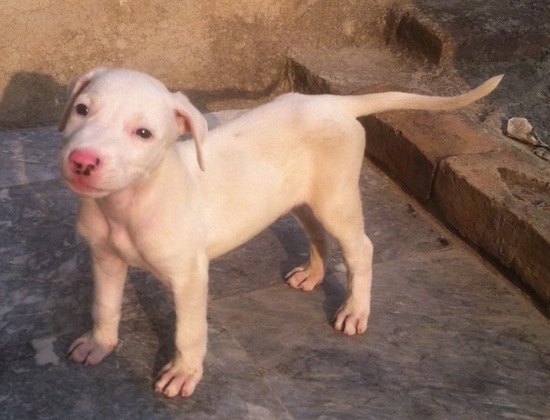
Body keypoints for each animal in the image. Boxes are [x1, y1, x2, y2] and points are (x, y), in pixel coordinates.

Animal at [58, 69, 502, 398]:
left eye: (143, 133)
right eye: (81, 110)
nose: (82, 161)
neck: (127, 204)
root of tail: (334, 102)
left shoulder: (189, 277)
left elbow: (189, 330)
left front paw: (183, 373)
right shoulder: (105, 258)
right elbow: (104, 305)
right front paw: (99, 343)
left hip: (336, 199)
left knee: (361, 249)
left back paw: (355, 311)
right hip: (298, 199)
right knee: (317, 236)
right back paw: (313, 274)